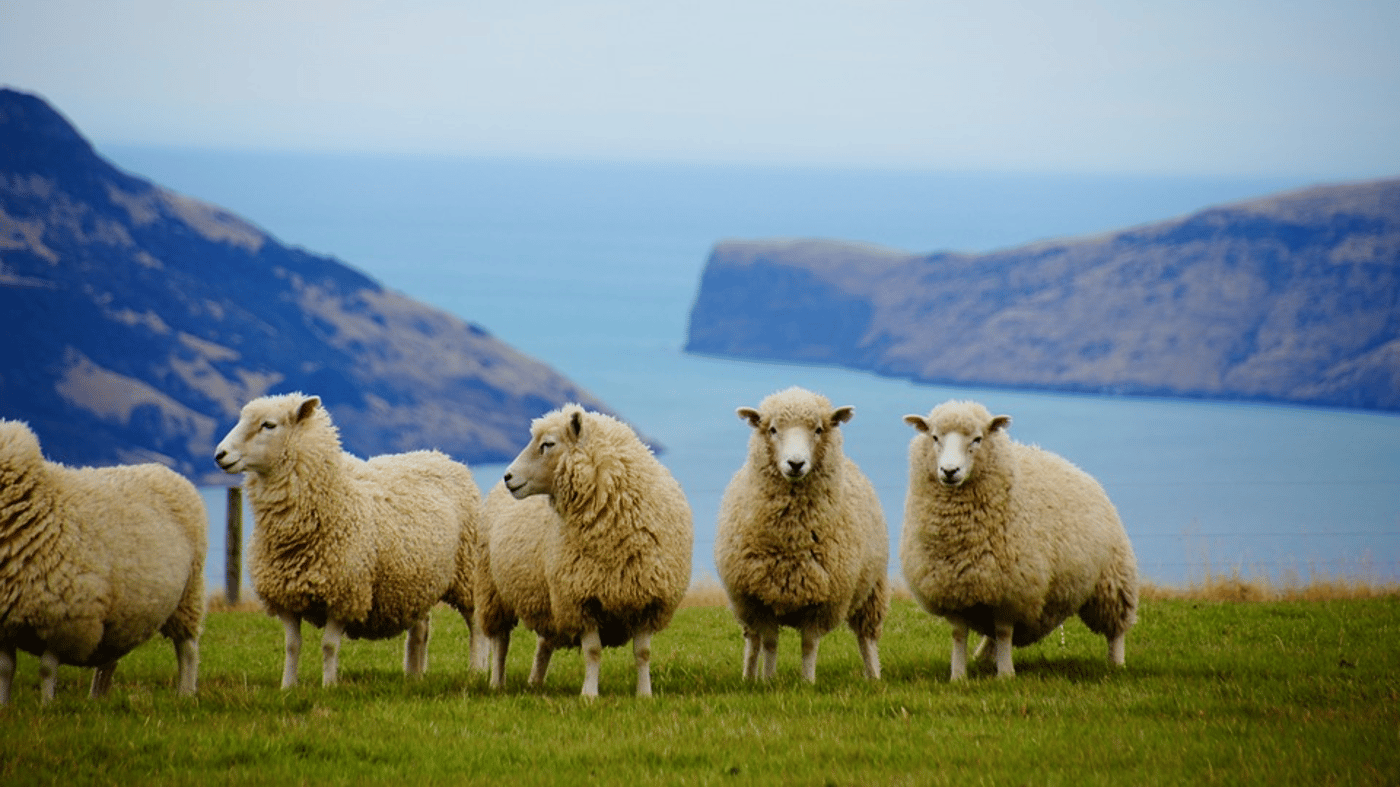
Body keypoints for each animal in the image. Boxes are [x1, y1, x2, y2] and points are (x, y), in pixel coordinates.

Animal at [0, 420, 206, 705]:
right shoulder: (4, 625)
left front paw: (46, 705)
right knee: (109, 660)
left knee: (187, 649)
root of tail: (164, 469)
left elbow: (46, 669)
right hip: (122, 614)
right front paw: (5, 705)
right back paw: (97, 699)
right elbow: (6, 670)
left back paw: (185, 692)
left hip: (188, 595)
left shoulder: (64, 620)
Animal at [214, 393, 485, 688]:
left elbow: (329, 646)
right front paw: (288, 687)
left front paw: (329, 686)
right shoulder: (285, 597)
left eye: (269, 425)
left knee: (475, 625)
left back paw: (476, 670)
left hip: (467, 572)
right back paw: (414, 674)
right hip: (417, 580)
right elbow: (292, 646)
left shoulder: (345, 594)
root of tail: (440, 455)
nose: (220, 455)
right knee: (421, 629)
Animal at [501, 404, 692, 697]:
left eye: (548, 444)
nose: (508, 477)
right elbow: (593, 651)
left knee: (544, 643)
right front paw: (589, 694)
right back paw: (496, 682)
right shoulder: (581, 597)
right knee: (498, 642)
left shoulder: (648, 598)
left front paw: (644, 694)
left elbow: (643, 653)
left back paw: (535, 683)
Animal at [714, 387, 890, 684]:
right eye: (773, 429)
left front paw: (807, 682)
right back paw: (749, 676)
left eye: (818, 429)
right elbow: (770, 643)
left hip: (872, 588)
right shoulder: (759, 599)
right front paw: (768, 681)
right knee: (753, 642)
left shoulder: (822, 601)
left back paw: (874, 676)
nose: (795, 464)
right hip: (744, 605)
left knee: (867, 638)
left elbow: (809, 645)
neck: (791, 539)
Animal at [900, 400, 1138, 680]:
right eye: (935, 437)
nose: (949, 471)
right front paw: (958, 676)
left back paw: (1117, 664)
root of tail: (1073, 466)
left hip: (1112, 579)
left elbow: (1004, 632)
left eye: (978, 439)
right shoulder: (953, 588)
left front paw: (1006, 675)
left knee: (1116, 629)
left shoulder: (1012, 589)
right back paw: (984, 657)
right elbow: (959, 634)